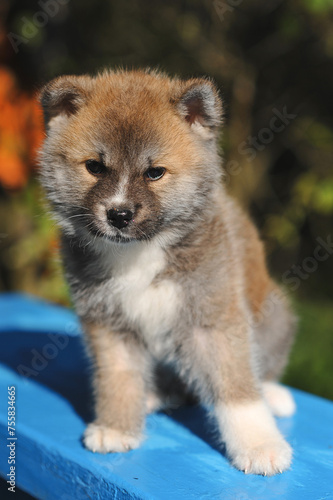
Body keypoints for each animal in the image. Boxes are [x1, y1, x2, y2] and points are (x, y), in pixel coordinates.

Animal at [39, 68, 296, 474]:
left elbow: (237, 387)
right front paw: (117, 426)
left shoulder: (213, 319)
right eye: (94, 167)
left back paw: (273, 394)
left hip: (275, 314)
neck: (139, 254)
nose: (119, 214)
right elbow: (118, 379)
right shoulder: (110, 326)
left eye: (155, 173)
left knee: (263, 367)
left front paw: (260, 445)